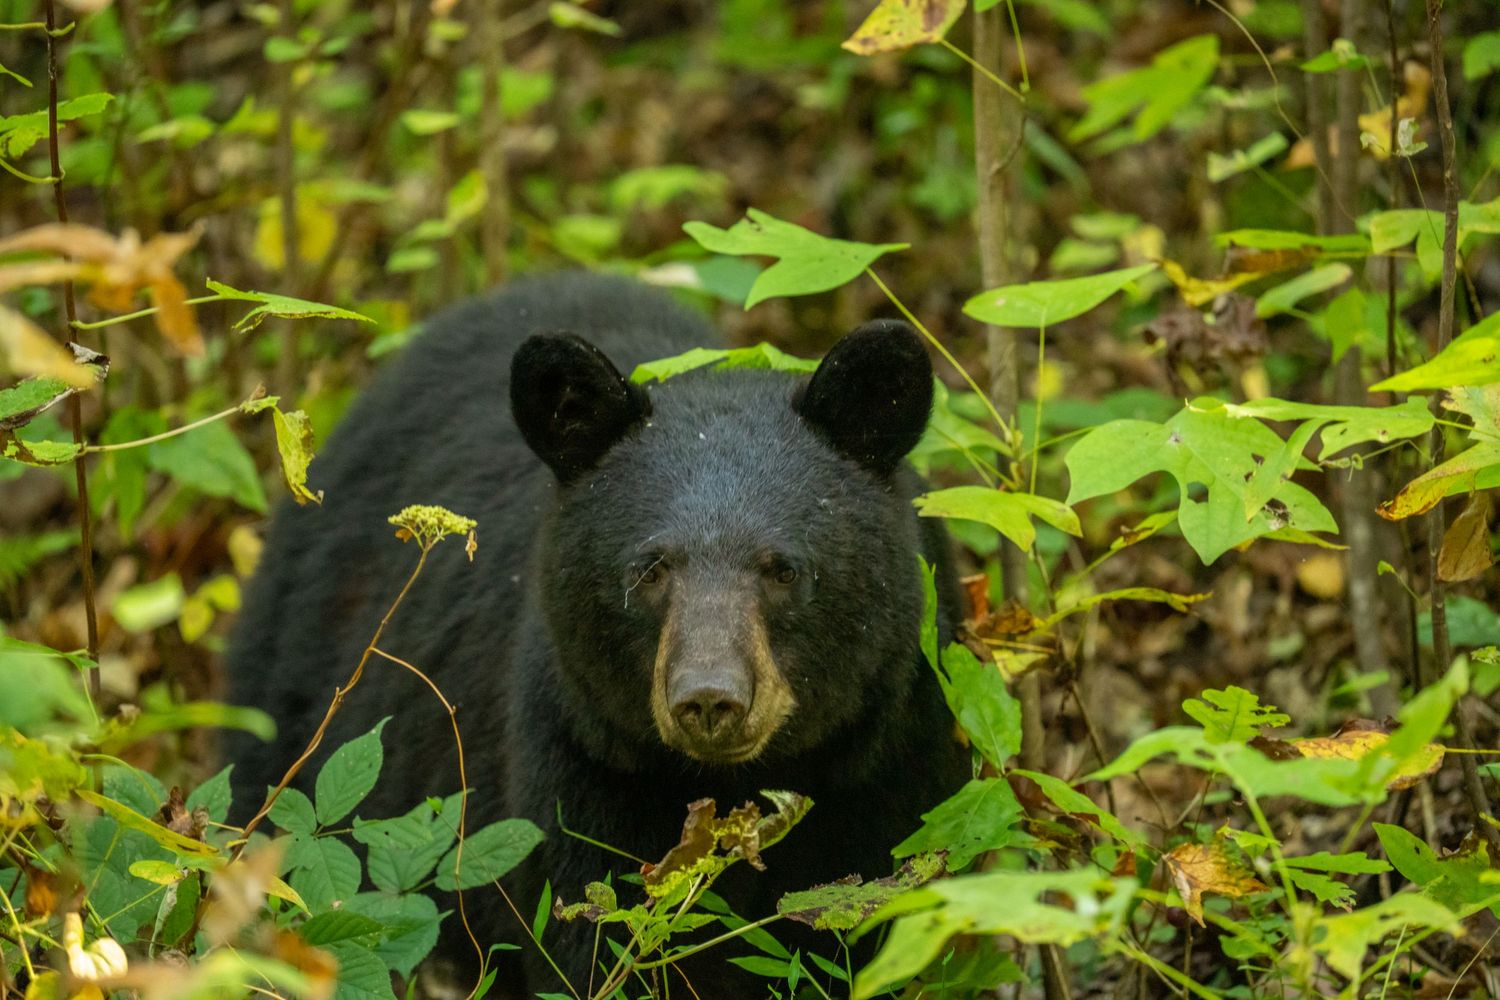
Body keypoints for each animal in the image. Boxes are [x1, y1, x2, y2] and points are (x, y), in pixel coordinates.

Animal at [226, 272, 967, 997]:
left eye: (784, 569)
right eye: (650, 568)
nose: (709, 700)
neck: (742, 788)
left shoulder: (896, 764)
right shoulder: (584, 767)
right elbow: (598, 935)